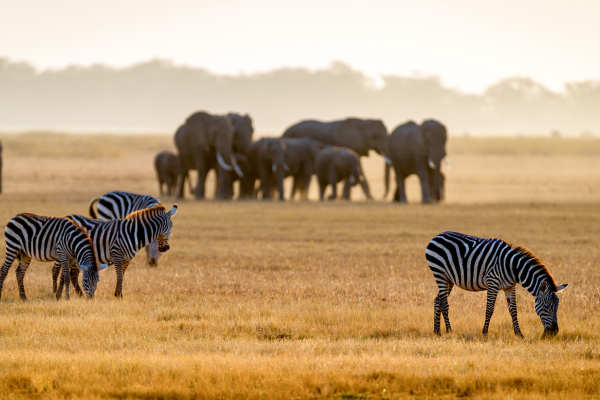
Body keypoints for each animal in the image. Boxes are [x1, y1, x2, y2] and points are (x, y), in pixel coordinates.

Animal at [424, 231, 568, 338]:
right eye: (546, 306)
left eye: (557, 307)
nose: (554, 332)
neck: (513, 268)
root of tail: (437, 236)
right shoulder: (492, 282)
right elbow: (489, 309)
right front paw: (485, 333)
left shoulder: (510, 286)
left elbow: (513, 310)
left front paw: (519, 334)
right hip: (440, 274)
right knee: (444, 303)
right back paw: (449, 330)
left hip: (449, 279)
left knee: (437, 300)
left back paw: (437, 331)